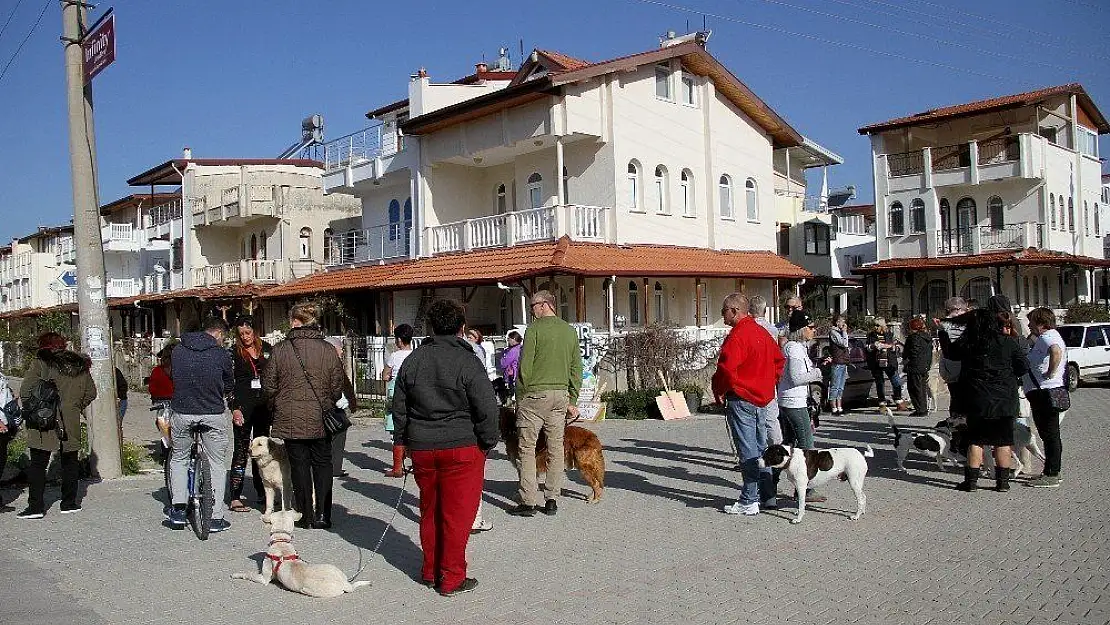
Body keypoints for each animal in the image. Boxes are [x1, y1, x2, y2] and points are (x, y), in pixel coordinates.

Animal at [227, 510, 370, 599]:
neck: (281, 541)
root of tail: (345, 583)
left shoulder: (264, 578)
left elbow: (248, 574)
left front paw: (236, 574)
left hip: (310, 590)